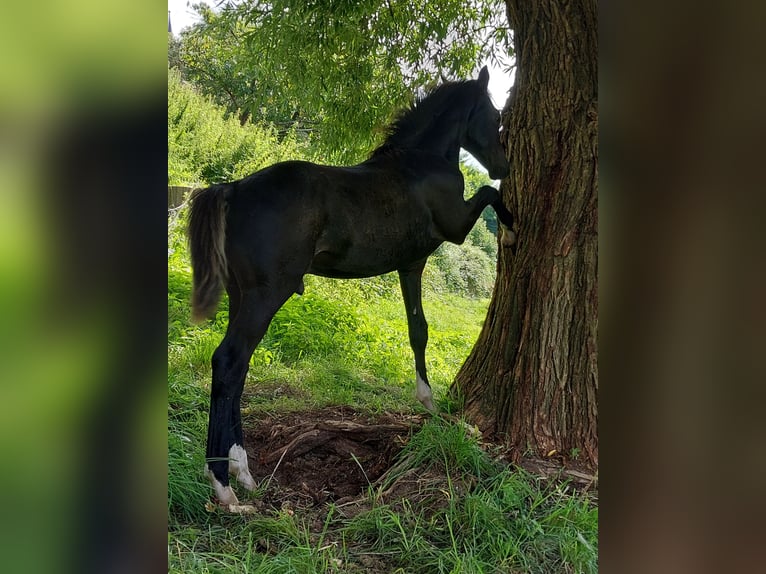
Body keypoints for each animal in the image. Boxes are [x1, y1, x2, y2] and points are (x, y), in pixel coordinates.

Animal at [189, 68, 520, 508]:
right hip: (265, 296)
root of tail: (233, 188)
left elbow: (418, 331)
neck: (419, 162)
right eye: (496, 115)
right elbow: (488, 194)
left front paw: (428, 402)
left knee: (237, 369)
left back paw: (241, 471)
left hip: (241, 296)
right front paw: (512, 229)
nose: (503, 166)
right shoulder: (455, 229)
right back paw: (223, 485)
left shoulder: (410, 266)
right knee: (229, 361)